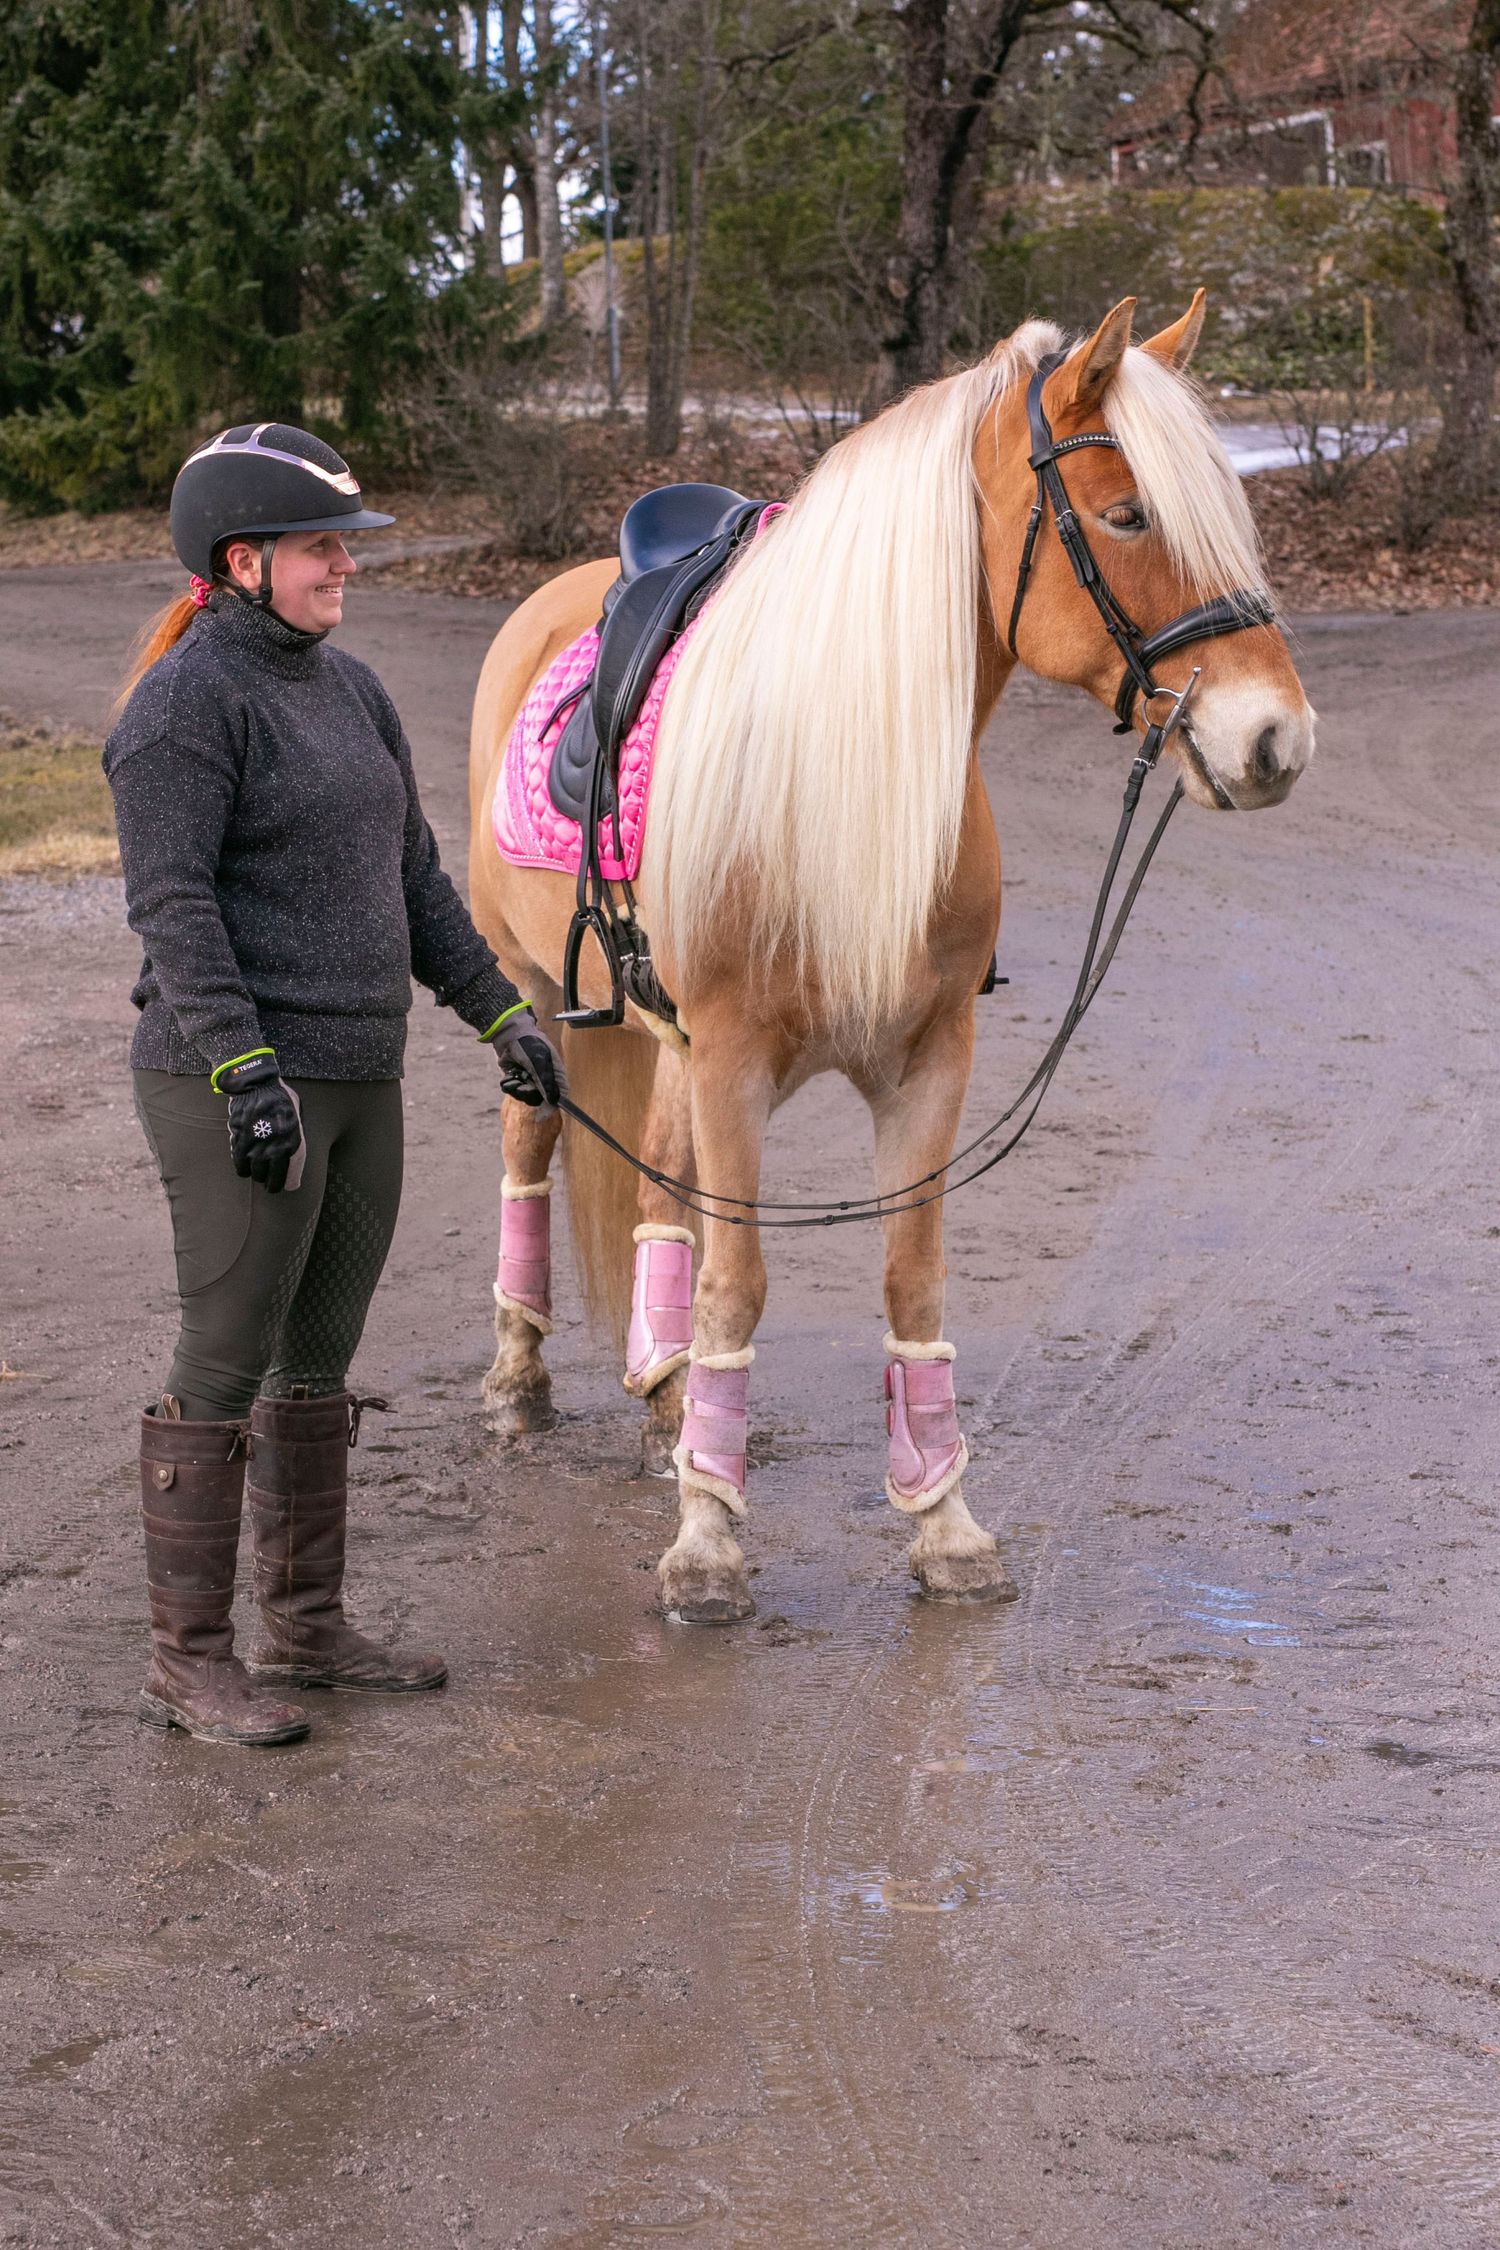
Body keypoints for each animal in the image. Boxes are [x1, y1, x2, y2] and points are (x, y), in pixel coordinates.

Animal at [466, 294, 1316, 1625]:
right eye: (1127, 514)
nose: (1276, 738)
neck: (839, 768)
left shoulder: (927, 1060)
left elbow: (912, 1282)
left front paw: (943, 1522)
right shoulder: (735, 1061)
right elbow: (740, 1283)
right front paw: (707, 1544)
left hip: (666, 1036)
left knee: (658, 1192)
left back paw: (669, 1398)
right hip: (537, 997)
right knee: (533, 1144)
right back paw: (522, 1379)